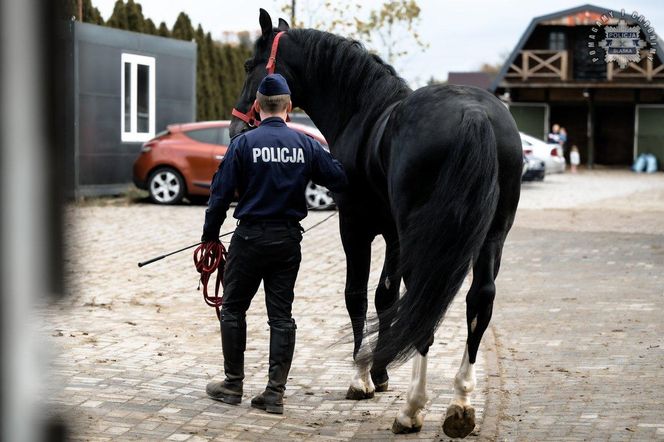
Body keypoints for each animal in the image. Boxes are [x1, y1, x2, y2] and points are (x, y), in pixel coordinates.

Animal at [231, 10, 520, 438]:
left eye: (250, 64)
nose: (236, 129)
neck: (363, 113)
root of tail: (475, 115)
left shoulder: (355, 225)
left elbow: (357, 295)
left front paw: (362, 378)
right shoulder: (395, 235)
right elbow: (386, 297)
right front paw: (381, 372)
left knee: (425, 300)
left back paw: (412, 410)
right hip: (492, 236)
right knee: (478, 300)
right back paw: (460, 406)